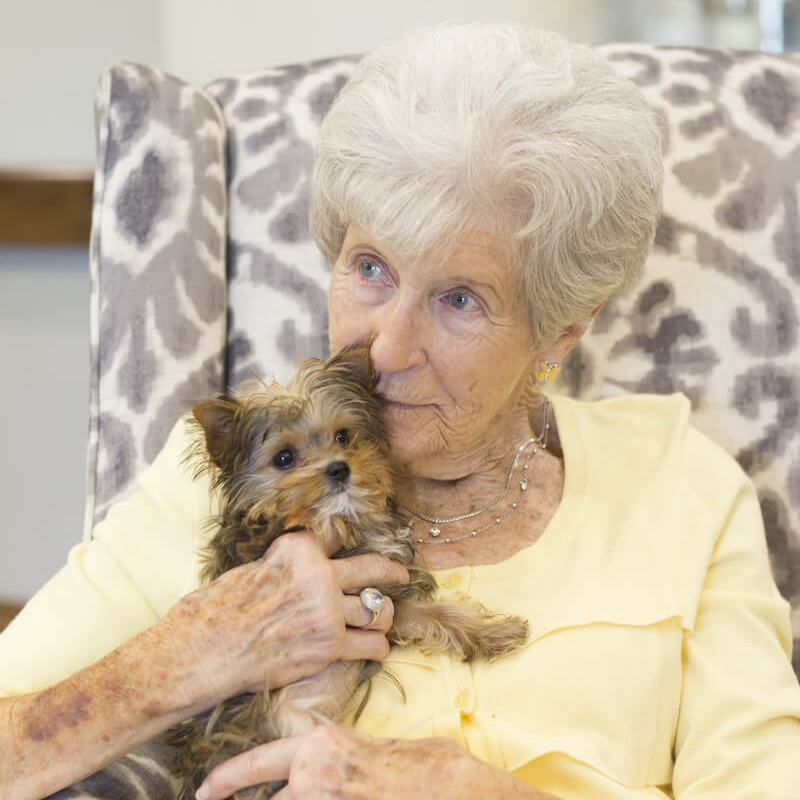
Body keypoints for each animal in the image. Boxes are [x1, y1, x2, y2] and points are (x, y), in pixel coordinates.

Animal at [166, 346, 528, 800]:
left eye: (343, 436)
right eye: (283, 458)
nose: (339, 468)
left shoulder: (390, 606)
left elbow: (438, 617)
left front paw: (494, 632)